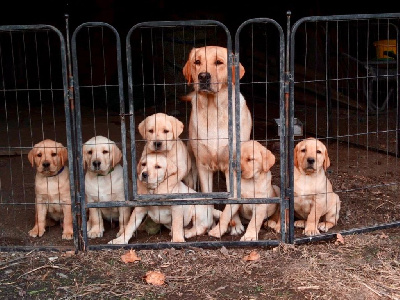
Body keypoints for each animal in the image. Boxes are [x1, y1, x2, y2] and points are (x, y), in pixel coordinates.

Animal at [183, 45, 252, 237]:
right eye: (197, 62)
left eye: (219, 62)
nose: (203, 76)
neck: (213, 111)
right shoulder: (203, 167)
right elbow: (207, 197)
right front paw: (208, 222)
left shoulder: (232, 167)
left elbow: (232, 201)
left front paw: (234, 225)